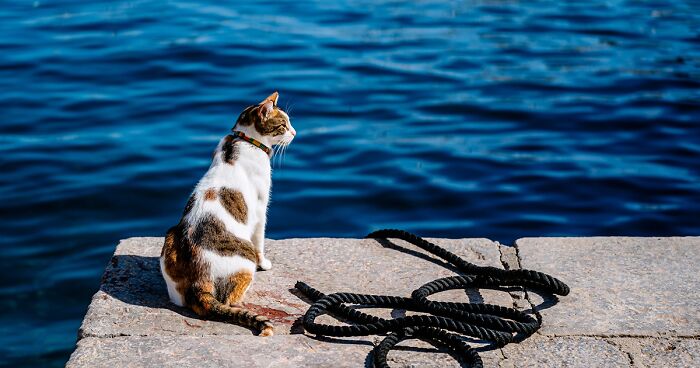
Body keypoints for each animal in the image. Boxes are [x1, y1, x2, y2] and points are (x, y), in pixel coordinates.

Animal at [161, 90, 296, 334]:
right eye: (283, 124)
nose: (295, 132)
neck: (244, 140)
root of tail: (199, 283)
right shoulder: (261, 210)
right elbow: (260, 240)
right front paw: (265, 264)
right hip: (245, 258)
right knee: (229, 299)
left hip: (170, 239)